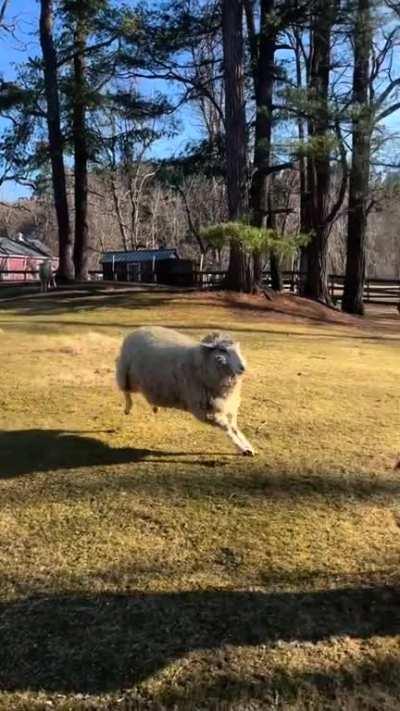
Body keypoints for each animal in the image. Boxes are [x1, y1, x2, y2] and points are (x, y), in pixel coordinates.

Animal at [116, 326, 255, 456]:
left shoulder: (225, 404)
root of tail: (140, 329)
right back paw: (127, 408)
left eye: (238, 349)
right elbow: (227, 428)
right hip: (126, 374)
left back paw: (155, 407)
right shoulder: (205, 411)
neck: (201, 364)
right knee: (125, 391)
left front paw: (248, 446)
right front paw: (241, 447)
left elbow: (234, 427)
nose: (243, 367)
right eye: (223, 350)